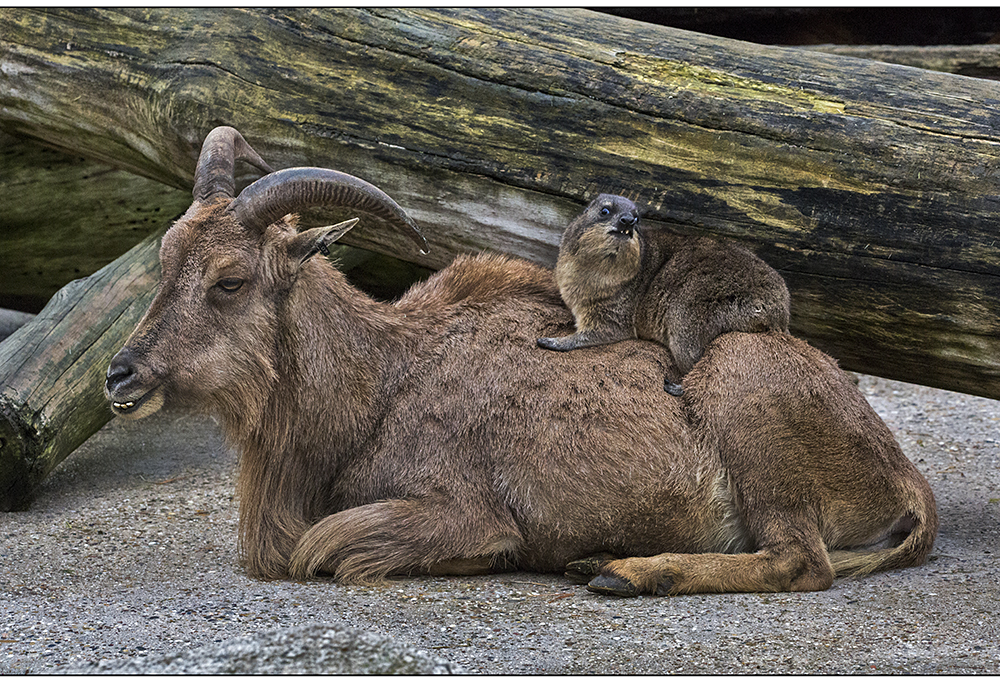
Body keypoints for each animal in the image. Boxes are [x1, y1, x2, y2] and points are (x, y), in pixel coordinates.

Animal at [540, 194, 788, 396]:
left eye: (637, 218)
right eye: (605, 211)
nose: (627, 221)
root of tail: (779, 310)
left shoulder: (615, 316)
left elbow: (591, 334)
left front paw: (552, 341)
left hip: (686, 320)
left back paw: (676, 386)